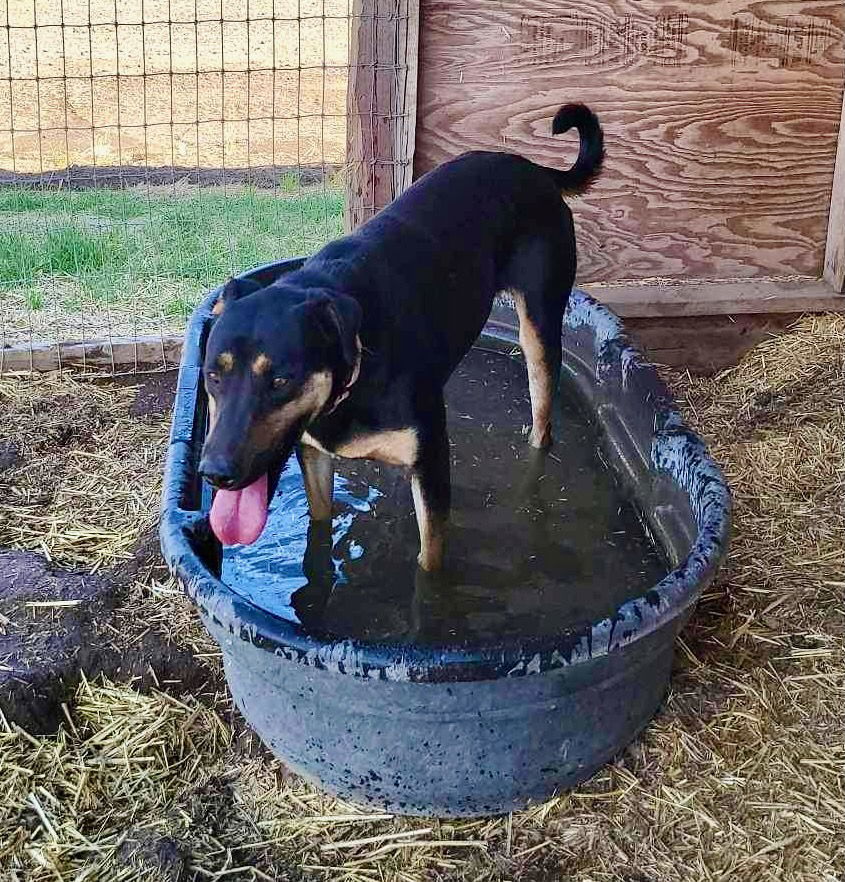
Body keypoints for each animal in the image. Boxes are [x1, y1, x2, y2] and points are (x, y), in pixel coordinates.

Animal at [201, 103, 604, 572]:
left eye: (281, 381)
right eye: (212, 376)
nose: (214, 473)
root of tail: (535, 169)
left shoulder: (430, 464)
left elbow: (429, 562)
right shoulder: (314, 453)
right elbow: (319, 524)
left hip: (540, 329)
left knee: (542, 414)